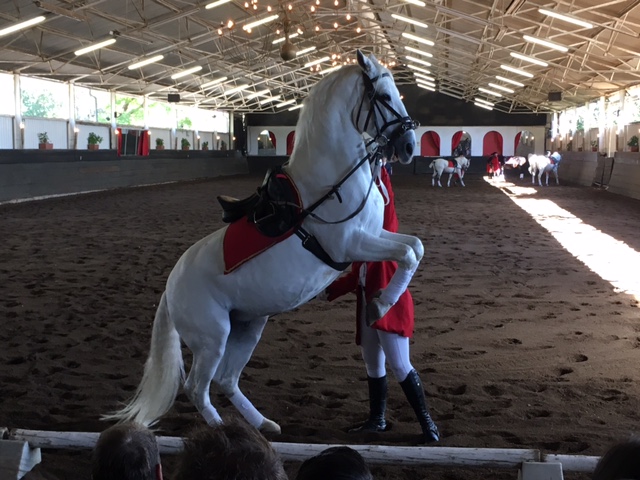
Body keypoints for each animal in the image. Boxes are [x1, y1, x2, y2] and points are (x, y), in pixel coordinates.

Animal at [103, 50, 420, 434]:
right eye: (385, 97)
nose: (409, 146)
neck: (330, 185)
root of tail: (170, 288)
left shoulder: (374, 236)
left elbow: (414, 247)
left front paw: (381, 303)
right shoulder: (351, 244)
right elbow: (407, 253)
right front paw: (381, 305)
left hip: (249, 327)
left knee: (226, 380)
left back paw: (263, 424)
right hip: (213, 339)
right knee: (197, 387)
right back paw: (223, 431)